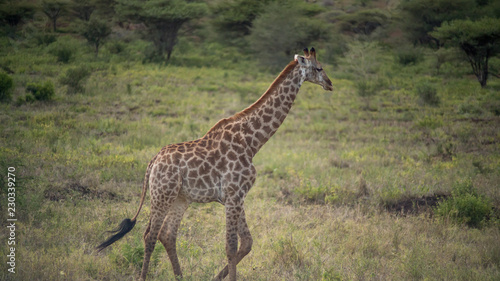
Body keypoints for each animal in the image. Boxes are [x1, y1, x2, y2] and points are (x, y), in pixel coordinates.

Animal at [96, 47, 332, 278]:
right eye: (319, 68)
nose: (330, 84)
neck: (252, 142)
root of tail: (152, 162)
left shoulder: (235, 196)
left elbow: (246, 243)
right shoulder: (234, 195)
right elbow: (231, 246)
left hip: (180, 198)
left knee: (167, 234)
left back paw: (180, 277)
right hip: (162, 194)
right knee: (150, 235)